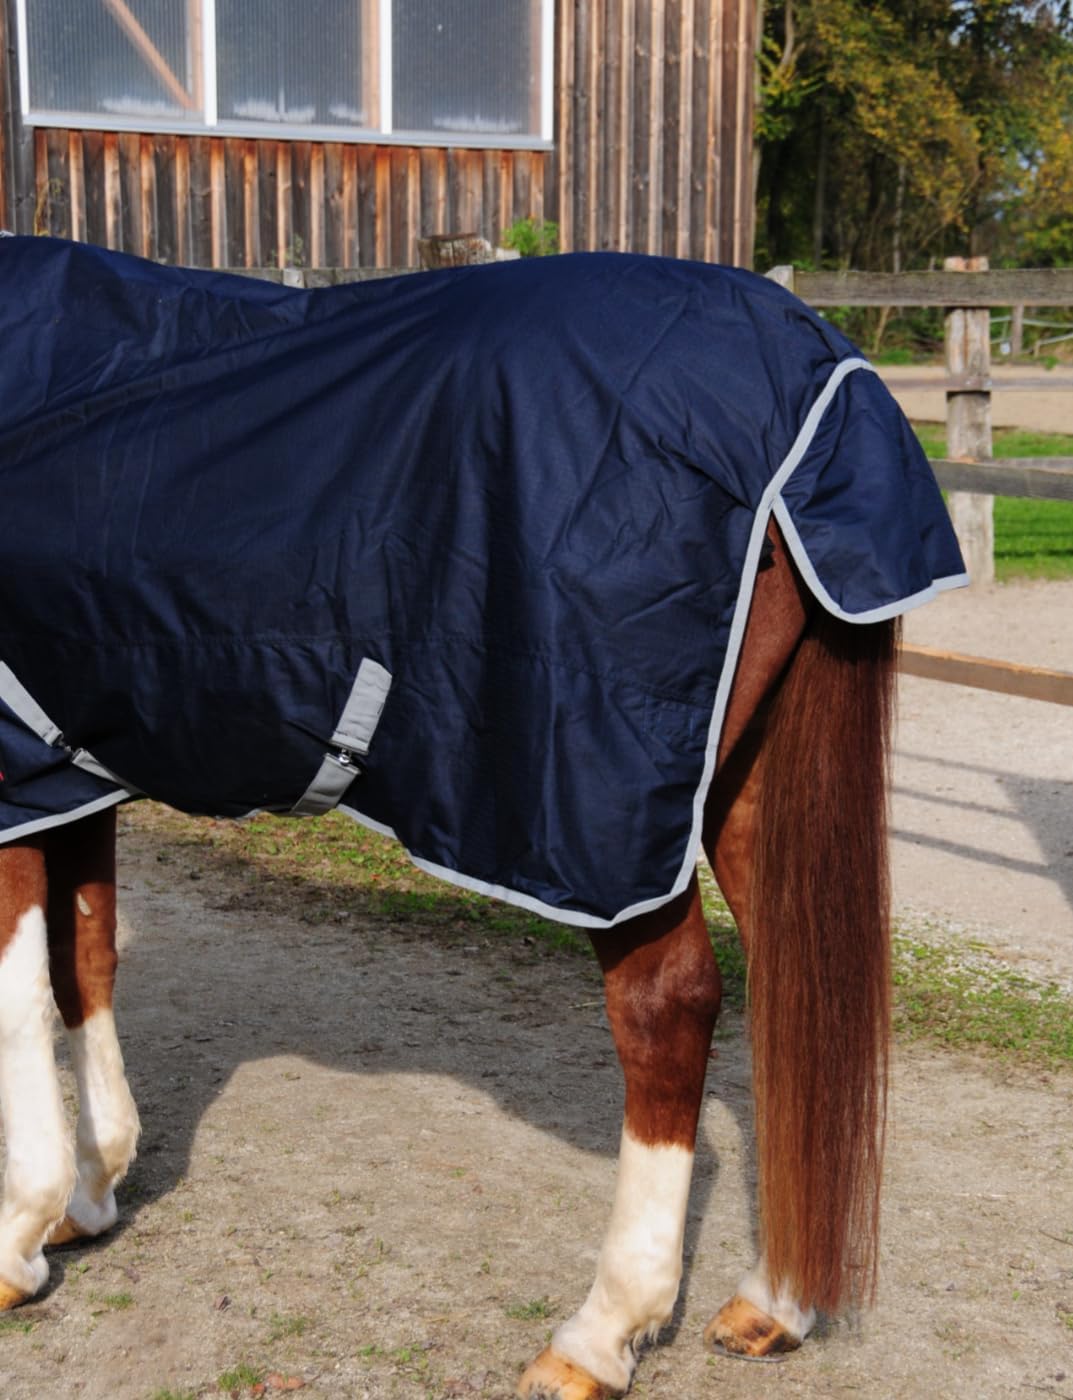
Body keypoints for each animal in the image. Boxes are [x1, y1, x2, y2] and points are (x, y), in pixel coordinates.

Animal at [0, 238, 963, 1397]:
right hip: (742, 787)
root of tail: (815, 376)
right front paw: (91, 1197)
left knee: (672, 1006)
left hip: (602, 814)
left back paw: (599, 1331)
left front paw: (18, 1239)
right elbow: (83, 961)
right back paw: (776, 1302)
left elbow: (19, 996)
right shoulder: (72, 769)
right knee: (794, 982)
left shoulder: (11, 775)